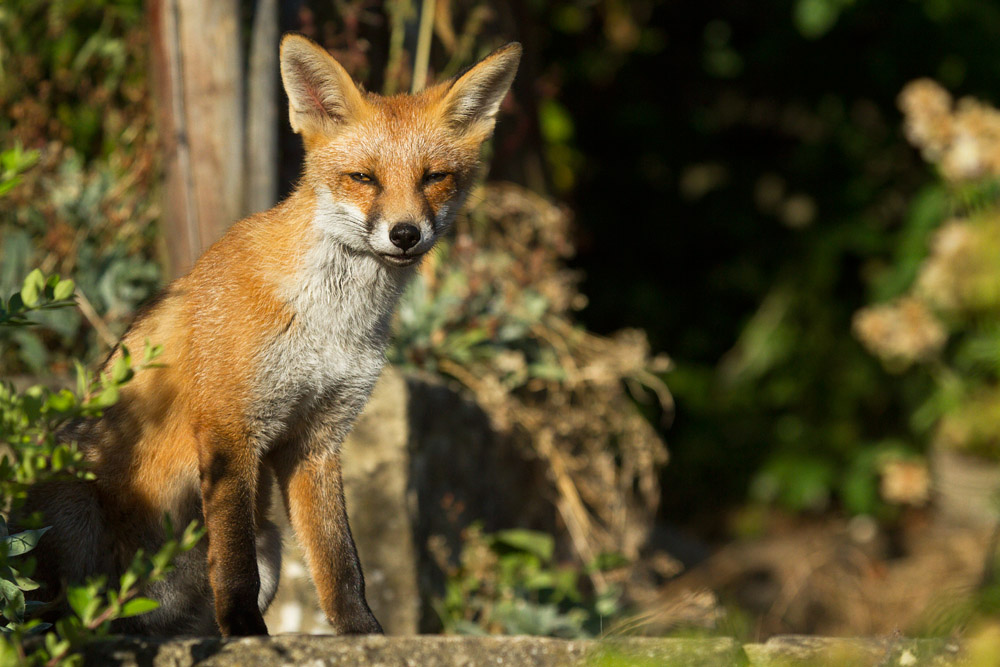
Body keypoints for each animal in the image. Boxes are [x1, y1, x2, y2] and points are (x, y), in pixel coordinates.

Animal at [20, 34, 521, 636]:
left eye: (433, 177)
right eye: (364, 178)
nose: (405, 234)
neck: (330, 323)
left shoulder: (317, 438)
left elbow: (340, 561)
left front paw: (362, 635)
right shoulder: (231, 427)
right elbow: (234, 564)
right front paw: (245, 636)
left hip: (274, 545)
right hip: (71, 509)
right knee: (55, 616)